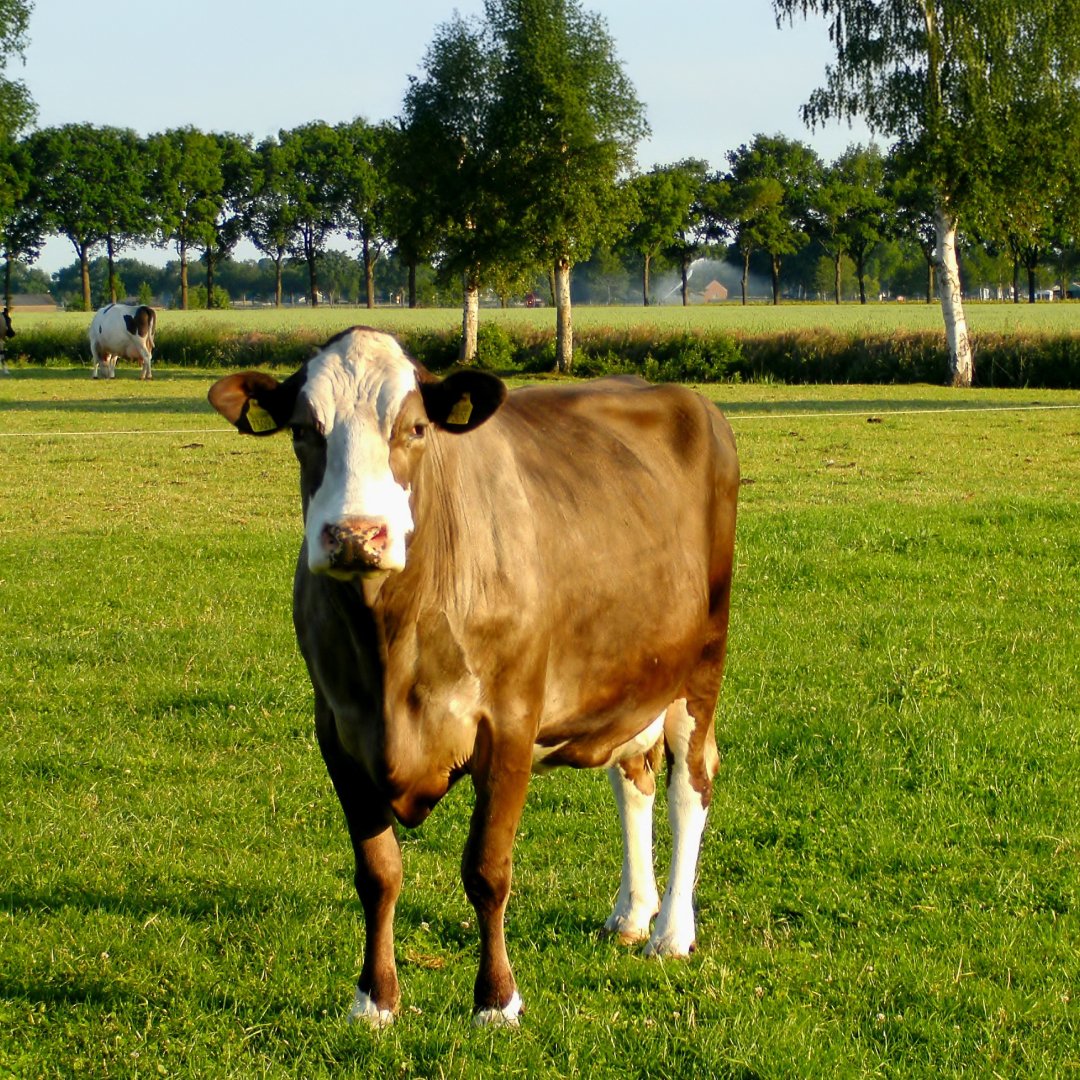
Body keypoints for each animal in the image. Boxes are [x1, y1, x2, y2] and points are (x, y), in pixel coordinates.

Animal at [208, 327, 739, 1027]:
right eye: (302, 430)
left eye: (415, 428)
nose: (355, 535)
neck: (391, 644)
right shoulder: (338, 730)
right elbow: (377, 872)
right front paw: (374, 1000)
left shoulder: (509, 723)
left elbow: (487, 869)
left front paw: (496, 1000)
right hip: (627, 675)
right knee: (633, 778)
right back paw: (631, 913)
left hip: (699, 666)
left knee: (689, 785)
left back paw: (672, 932)